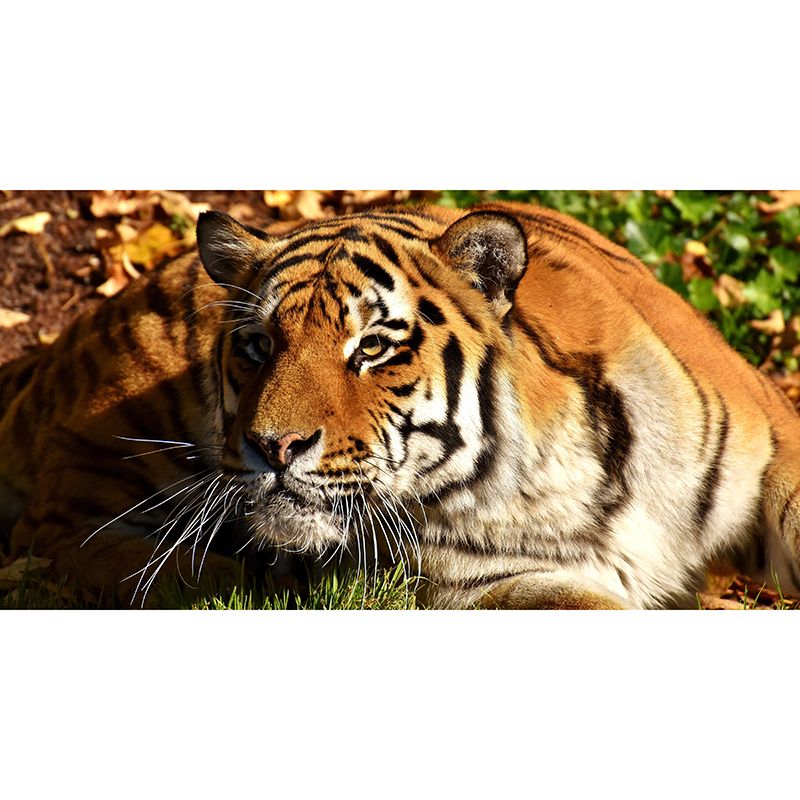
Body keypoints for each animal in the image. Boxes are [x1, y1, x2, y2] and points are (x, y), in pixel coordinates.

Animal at [2, 200, 800, 609]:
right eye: (258, 345)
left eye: (374, 348)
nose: (273, 446)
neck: (552, 470)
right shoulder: (509, 582)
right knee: (62, 552)